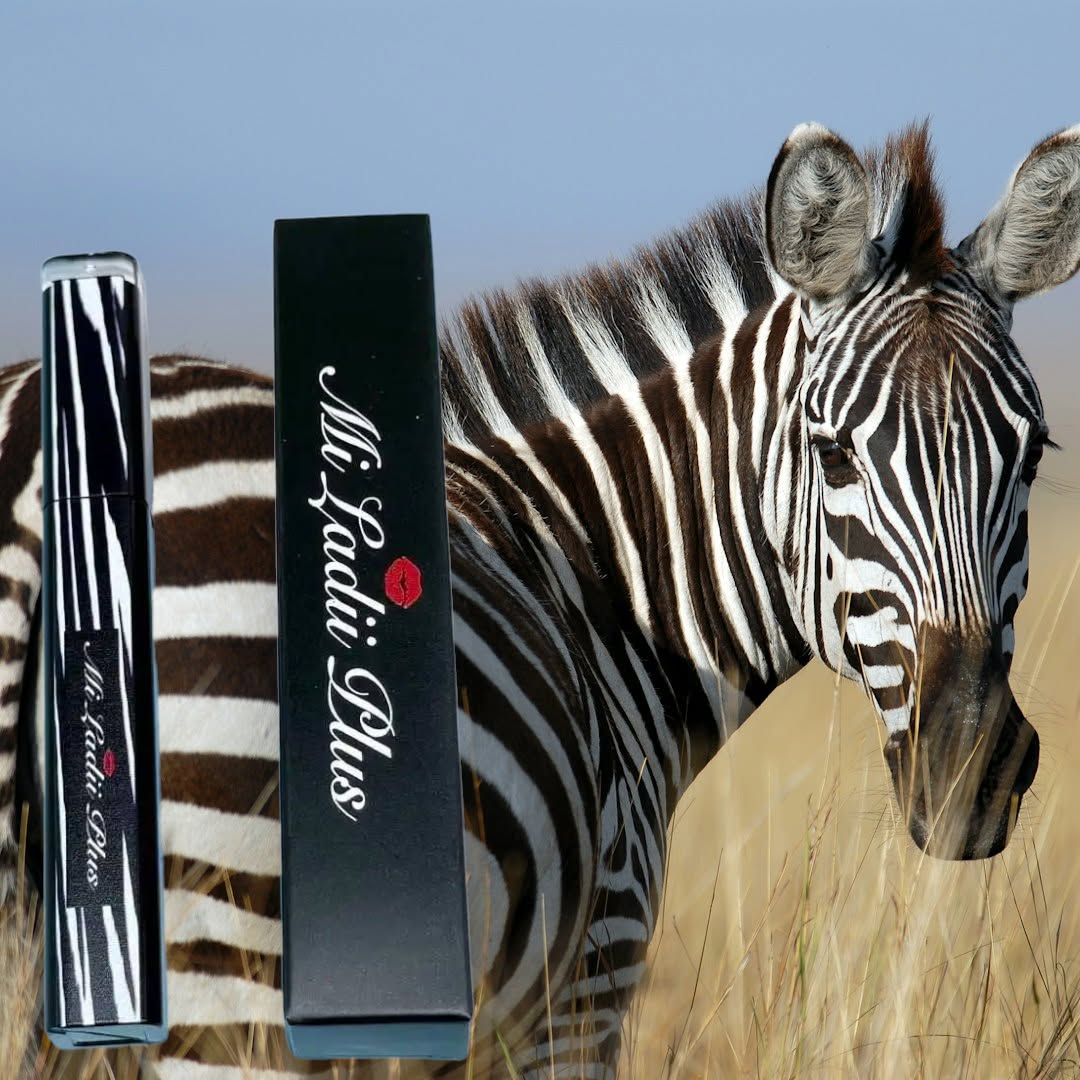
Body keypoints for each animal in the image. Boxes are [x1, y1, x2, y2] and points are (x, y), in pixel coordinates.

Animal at [2, 120, 1078, 1078]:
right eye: (835, 454)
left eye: (1032, 455)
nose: (972, 765)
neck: (598, 582)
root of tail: (31, 466)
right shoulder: (585, 983)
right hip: (237, 985)